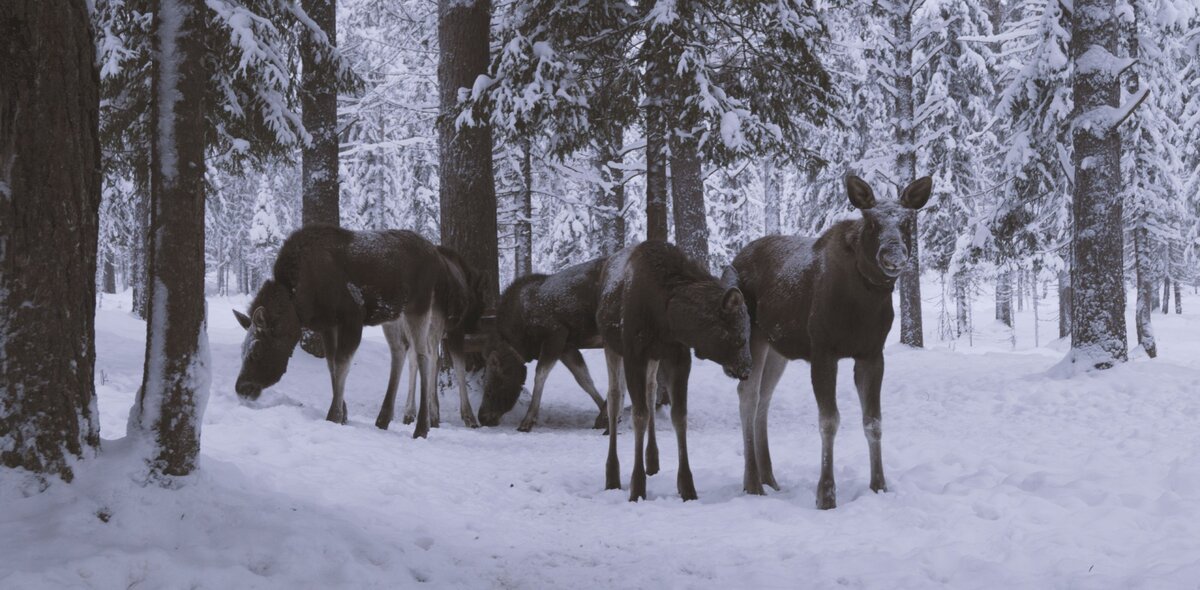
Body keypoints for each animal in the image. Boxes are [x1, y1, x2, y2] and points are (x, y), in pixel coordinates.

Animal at [231, 225, 480, 438]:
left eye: (256, 351)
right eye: (241, 350)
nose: (241, 388)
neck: (299, 301)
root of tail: (437, 257)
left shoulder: (352, 318)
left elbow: (342, 365)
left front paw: (334, 415)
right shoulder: (328, 325)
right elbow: (331, 365)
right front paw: (343, 413)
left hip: (419, 307)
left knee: (424, 355)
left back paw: (422, 426)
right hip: (394, 315)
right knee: (399, 352)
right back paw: (384, 418)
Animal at [475, 255, 609, 431]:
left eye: (490, 388)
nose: (482, 417)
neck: (522, 341)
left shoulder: (555, 334)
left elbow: (540, 375)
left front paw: (528, 420)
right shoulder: (567, 346)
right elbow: (584, 379)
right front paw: (604, 415)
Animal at [600, 241, 748, 501]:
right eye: (740, 337)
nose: (746, 369)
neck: (669, 320)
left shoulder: (678, 355)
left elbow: (679, 416)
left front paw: (687, 487)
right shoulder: (634, 353)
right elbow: (638, 415)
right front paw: (637, 488)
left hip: (654, 357)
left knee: (651, 392)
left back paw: (652, 461)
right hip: (611, 346)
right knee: (615, 397)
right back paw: (612, 476)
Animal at [729, 173, 936, 506]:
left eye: (908, 222)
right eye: (871, 222)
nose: (893, 255)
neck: (864, 302)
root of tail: (738, 256)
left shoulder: (871, 353)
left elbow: (873, 422)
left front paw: (879, 485)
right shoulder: (823, 350)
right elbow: (829, 420)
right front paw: (826, 494)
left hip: (778, 349)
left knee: (764, 397)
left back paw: (769, 477)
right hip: (752, 336)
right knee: (747, 394)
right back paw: (752, 483)